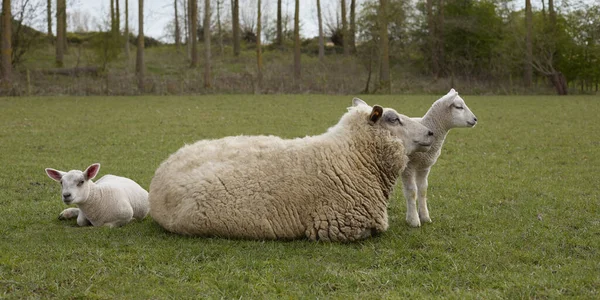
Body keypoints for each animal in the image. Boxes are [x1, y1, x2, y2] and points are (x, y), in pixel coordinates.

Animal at [400, 89, 480, 227]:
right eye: (459, 107)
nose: (475, 119)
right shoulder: (408, 167)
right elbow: (411, 192)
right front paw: (413, 220)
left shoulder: (424, 167)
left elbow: (422, 190)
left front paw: (425, 217)